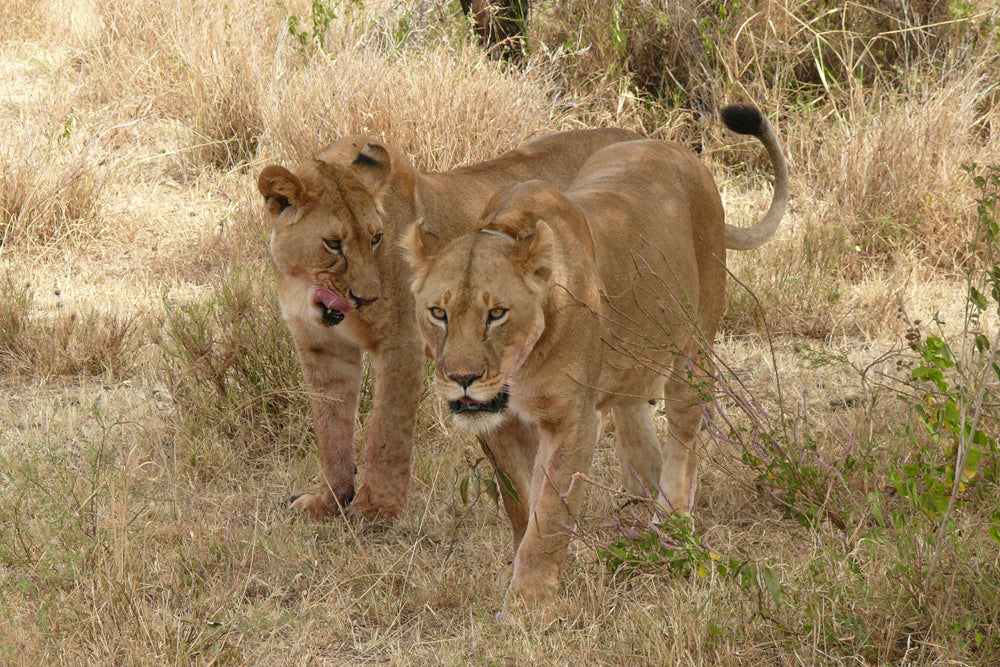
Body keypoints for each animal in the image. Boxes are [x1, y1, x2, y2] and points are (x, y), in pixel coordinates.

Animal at [258, 126, 640, 520]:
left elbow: (387, 430)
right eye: (333, 244)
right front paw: (329, 500)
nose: (369, 297)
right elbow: (330, 428)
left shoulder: (401, 342)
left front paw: (375, 509)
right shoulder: (320, 348)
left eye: (376, 239)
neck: (306, 288)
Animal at [404, 104, 788, 604]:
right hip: (633, 363)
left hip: (694, 346)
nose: (462, 378)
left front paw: (529, 605)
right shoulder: (503, 425)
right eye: (438, 313)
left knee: (684, 436)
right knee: (640, 438)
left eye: (497, 314)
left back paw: (670, 527)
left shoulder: (571, 419)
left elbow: (549, 514)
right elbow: (522, 501)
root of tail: (680, 150)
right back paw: (635, 519)